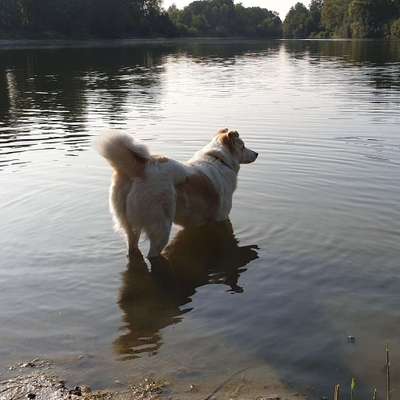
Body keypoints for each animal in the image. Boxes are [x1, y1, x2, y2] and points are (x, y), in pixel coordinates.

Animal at [98, 130, 258, 258]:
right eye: (243, 146)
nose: (257, 153)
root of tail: (140, 170)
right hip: (161, 229)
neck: (219, 160)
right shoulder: (221, 217)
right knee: (152, 254)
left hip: (130, 229)